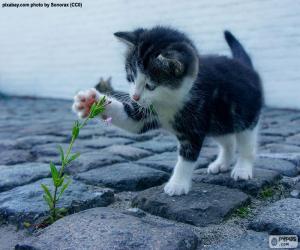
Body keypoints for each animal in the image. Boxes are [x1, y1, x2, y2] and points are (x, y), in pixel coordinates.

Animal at [72, 26, 262, 196]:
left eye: (150, 85)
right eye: (131, 77)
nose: (134, 97)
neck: (170, 100)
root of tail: (246, 67)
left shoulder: (195, 123)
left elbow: (187, 156)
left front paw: (177, 184)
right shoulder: (146, 112)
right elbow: (131, 120)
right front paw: (91, 101)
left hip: (244, 115)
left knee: (246, 143)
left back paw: (242, 169)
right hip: (219, 121)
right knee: (228, 140)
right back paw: (221, 163)